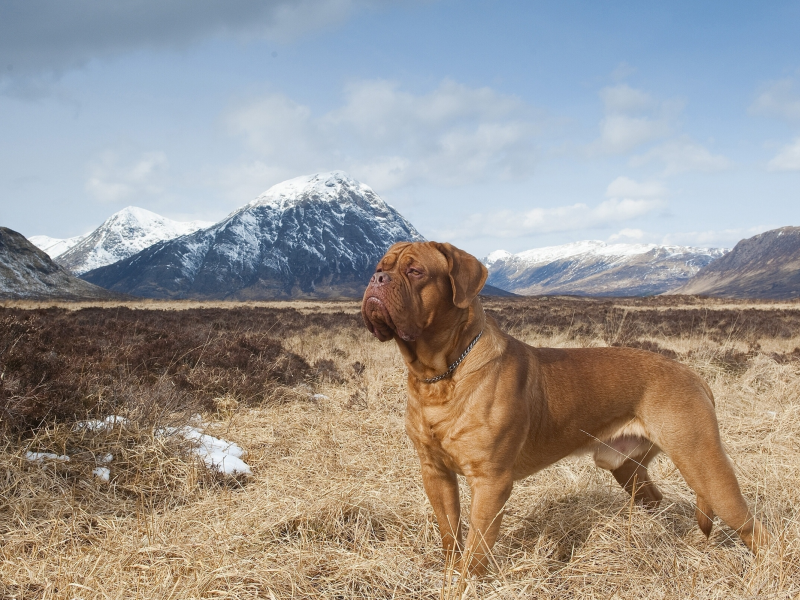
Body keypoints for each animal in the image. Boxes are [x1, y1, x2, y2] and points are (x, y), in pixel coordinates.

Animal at [360, 239, 768, 576]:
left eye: (415, 271)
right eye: (381, 266)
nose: (377, 278)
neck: (441, 375)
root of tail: (694, 375)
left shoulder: (490, 481)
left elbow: (476, 550)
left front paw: (467, 583)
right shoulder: (435, 473)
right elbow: (451, 536)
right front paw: (448, 573)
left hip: (704, 465)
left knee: (754, 529)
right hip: (627, 468)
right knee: (655, 499)